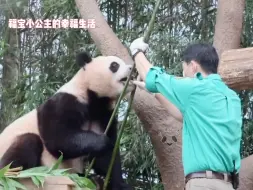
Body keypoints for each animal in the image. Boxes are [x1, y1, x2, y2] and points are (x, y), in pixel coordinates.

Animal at [0, 51, 134, 189]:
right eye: (114, 65)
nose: (131, 68)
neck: (92, 97)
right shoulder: (63, 103)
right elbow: (59, 139)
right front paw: (102, 141)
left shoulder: (103, 115)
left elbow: (108, 156)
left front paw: (119, 183)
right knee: (25, 145)